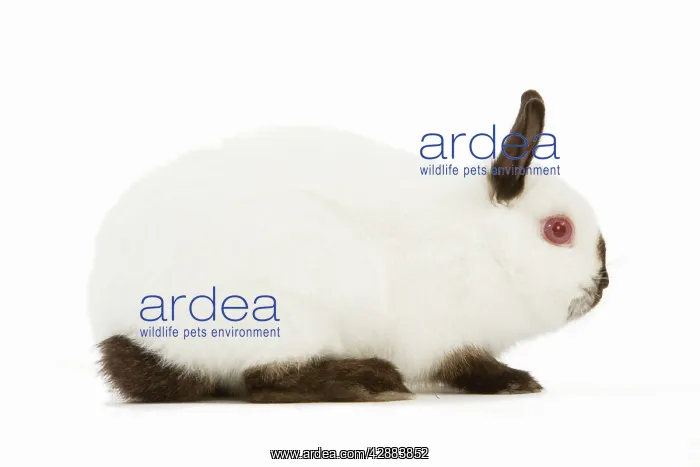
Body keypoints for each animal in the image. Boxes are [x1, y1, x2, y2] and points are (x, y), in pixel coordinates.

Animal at [89, 90, 609, 403]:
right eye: (558, 230)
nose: (602, 285)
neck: (485, 246)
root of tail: (130, 330)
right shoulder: (438, 335)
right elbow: (463, 364)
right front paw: (513, 381)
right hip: (289, 309)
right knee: (264, 380)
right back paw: (371, 382)